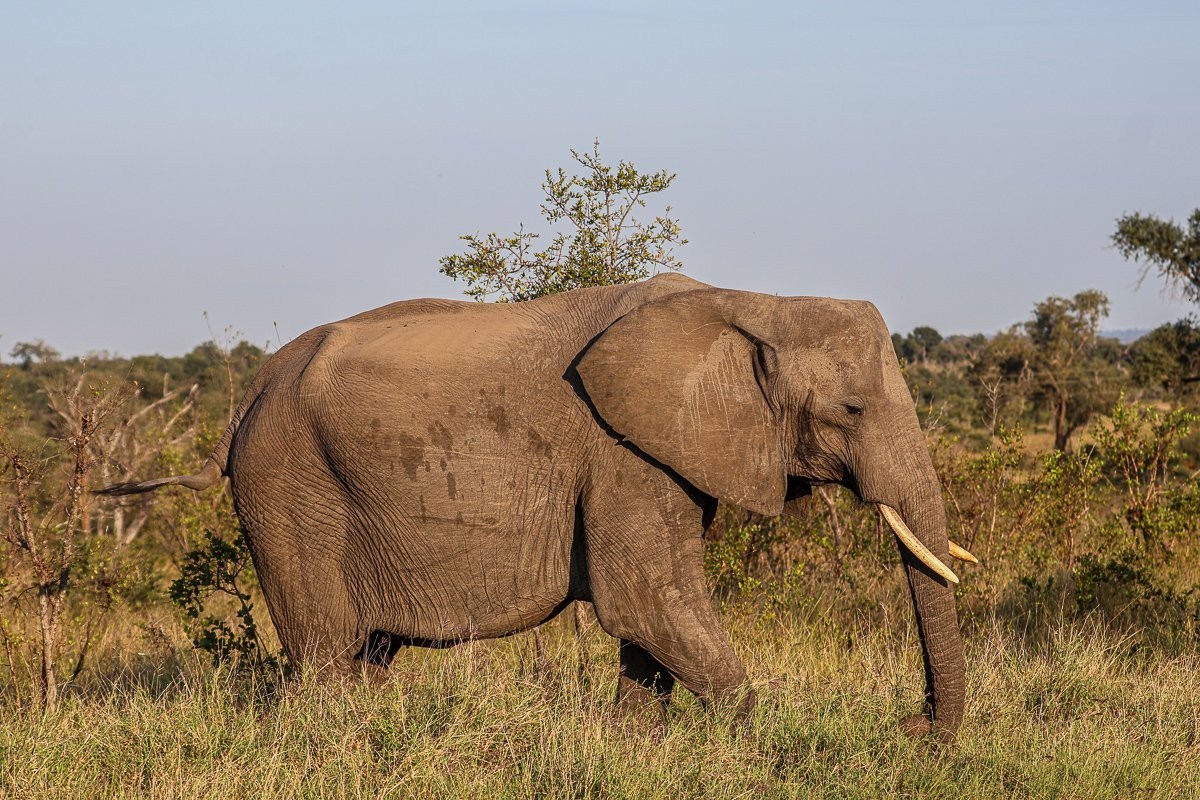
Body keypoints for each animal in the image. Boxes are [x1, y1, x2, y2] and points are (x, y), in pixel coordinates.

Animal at [100, 273, 973, 740]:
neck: (756, 300)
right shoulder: (622, 456)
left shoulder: (656, 454)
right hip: (288, 485)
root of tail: (247, 395)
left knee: (365, 654)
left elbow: (650, 617)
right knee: (326, 653)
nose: (914, 728)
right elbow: (645, 598)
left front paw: (634, 750)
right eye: (852, 411)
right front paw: (758, 744)